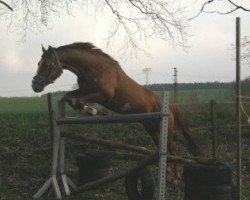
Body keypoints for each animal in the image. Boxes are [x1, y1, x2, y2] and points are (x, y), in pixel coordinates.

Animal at [32, 42, 201, 178]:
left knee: (173, 149)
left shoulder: (103, 95)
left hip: (166, 128)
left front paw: (92, 111)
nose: (35, 86)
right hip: (151, 127)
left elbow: (79, 101)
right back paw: (167, 171)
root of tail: (170, 106)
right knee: (162, 146)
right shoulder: (83, 90)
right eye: (38, 63)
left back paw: (176, 175)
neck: (94, 68)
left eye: (46, 65)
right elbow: (68, 97)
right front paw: (89, 110)